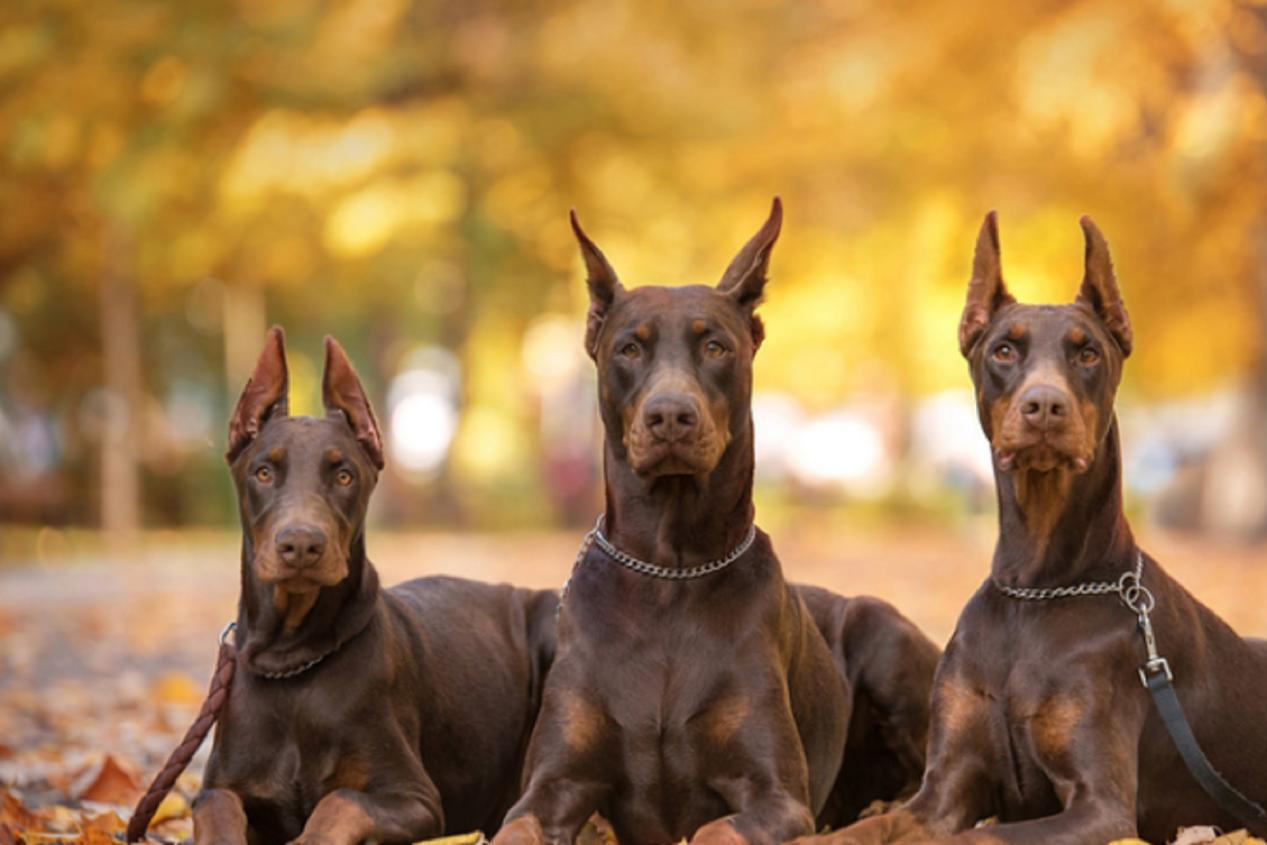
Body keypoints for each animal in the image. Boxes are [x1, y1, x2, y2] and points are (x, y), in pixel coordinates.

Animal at [192, 329, 560, 845]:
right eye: (263, 472)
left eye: (344, 475)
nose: (301, 544)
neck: (293, 662)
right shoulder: (224, 783)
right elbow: (214, 806)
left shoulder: (414, 797)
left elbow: (338, 804)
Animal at [790, 212, 1267, 845]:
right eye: (1004, 349)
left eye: (1087, 353)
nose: (1044, 406)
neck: (1037, 589)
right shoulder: (942, 790)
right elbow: (869, 828)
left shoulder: (1100, 805)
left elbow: (978, 836)